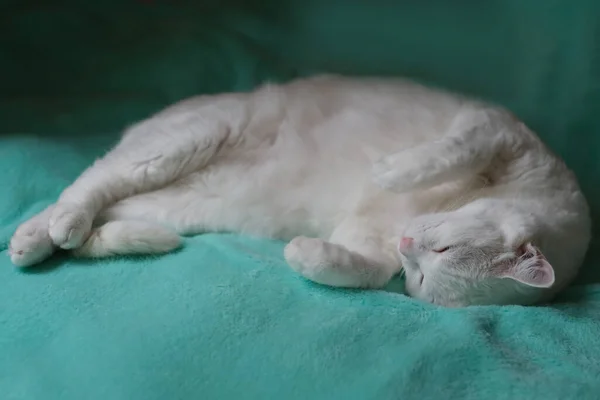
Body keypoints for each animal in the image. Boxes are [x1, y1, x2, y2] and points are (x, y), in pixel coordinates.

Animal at [8, 74, 592, 306]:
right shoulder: (496, 130)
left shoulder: (371, 242)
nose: (409, 243)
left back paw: (44, 240)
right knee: (87, 183)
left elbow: (365, 268)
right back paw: (43, 235)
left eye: (423, 279)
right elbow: (448, 151)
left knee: (106, 208)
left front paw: (307, 256)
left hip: (183, 203)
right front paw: (389, 171)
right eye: (443, 249)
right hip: (179, 145)